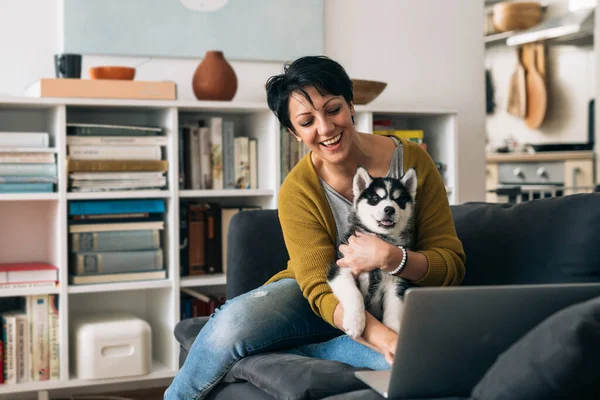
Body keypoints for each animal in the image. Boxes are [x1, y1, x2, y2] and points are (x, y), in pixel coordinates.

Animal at [328, 166, 418, 338]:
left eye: (399, 200)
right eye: (375, 198)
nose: (389, 209)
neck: (380, 237)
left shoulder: (396, 282)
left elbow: (394, 311)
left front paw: (394, 332)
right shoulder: (340, 268)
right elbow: (353, 293)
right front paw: (355, 323)